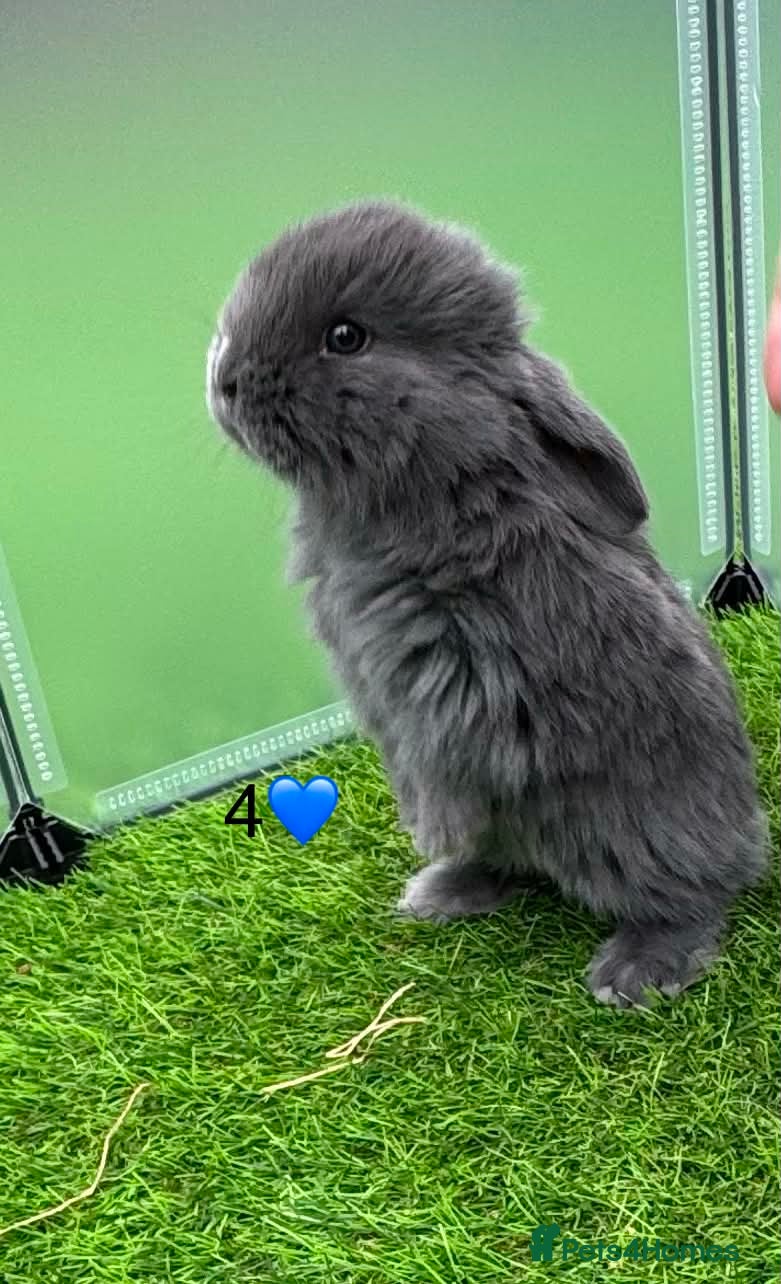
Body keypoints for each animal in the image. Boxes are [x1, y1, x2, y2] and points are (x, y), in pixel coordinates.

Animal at [205, 198, 768, 1007]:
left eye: (345, 337)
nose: (222, 380)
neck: (439, 494)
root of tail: (744, 831)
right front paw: (429, 840)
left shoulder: (464, 683)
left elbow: (453, 761)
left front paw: (430, 828)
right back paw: (442, 890)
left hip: (641, 828)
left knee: (694, 896)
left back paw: (635, 972)